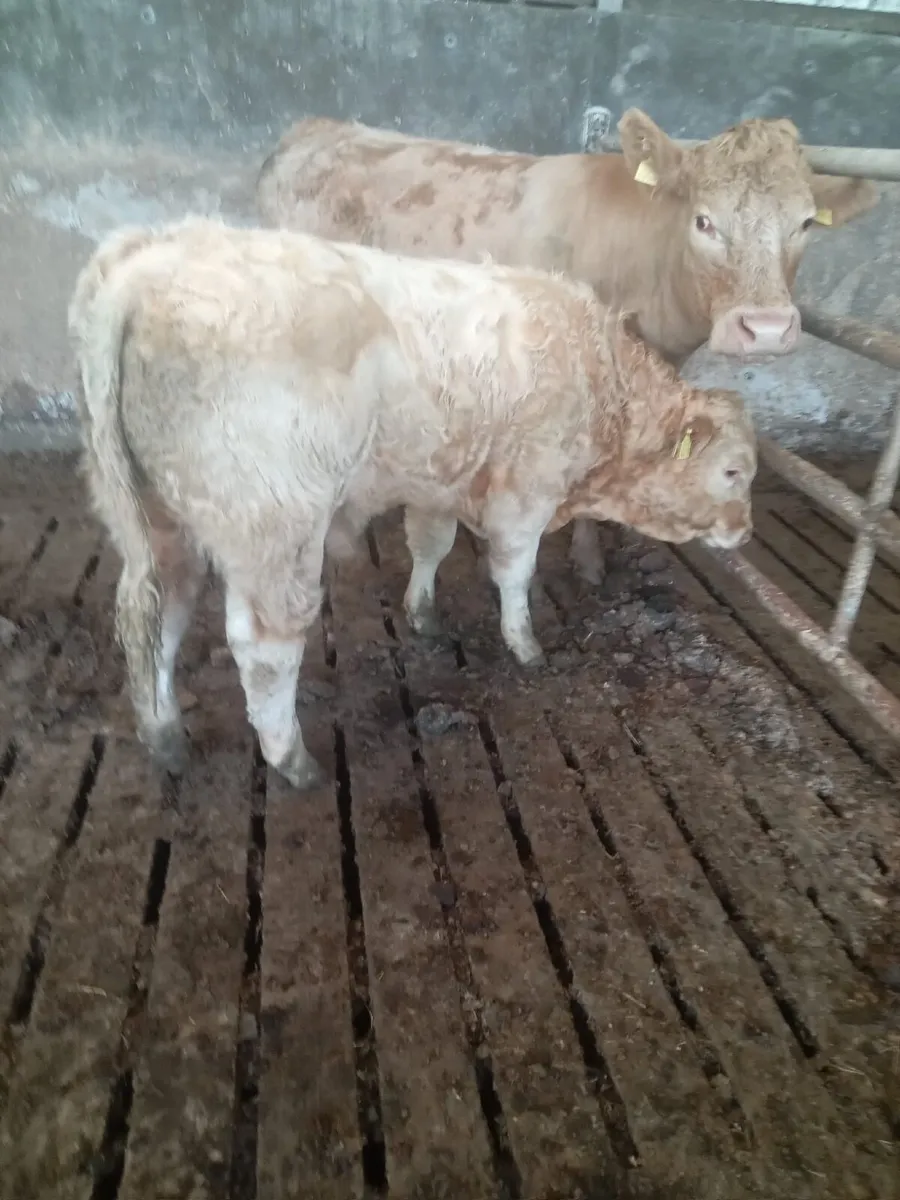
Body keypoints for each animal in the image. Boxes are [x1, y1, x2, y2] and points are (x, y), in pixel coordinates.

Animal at [70, 216, 756, 789]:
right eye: (732, 471)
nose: (745, 533)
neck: (601, 381)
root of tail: (151, 261)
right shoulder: (527, 488)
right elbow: (514, 571)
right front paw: (525, 644)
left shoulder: (440, 480)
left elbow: (431, 544)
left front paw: (423, 612)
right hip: (272, 524)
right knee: (263, 647)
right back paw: (292, 760)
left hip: (155, 512)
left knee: (155, 611)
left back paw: (163, 735)